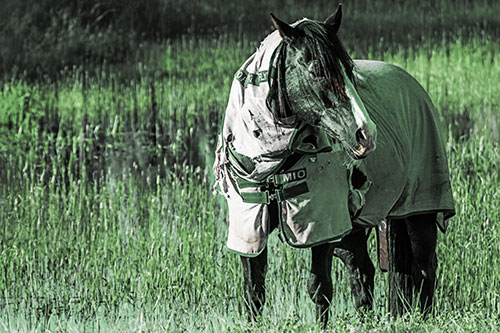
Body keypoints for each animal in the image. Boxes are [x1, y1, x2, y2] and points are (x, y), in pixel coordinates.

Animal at [213, 4, 456, 326]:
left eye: (350, 70)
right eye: (317, 70)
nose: (366, 134)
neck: (273, 161)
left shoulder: (322, 226)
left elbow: (319, 288)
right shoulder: (251, 227)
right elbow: (254, 292)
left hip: (419, 212)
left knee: (425, 267)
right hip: (353, 229)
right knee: (362, 271)